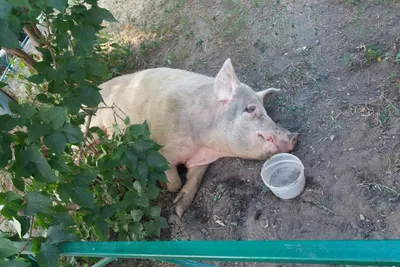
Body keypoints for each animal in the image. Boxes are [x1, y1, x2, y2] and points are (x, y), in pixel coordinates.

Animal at [90, 59, 296, 220]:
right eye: (250, 109)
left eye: (266, 111)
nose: (294, 136)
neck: (206, 145)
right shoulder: (162, 152)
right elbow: (174, 182)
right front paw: (165, 188)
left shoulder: (201, 161)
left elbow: (194, 179)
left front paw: (179, 210)